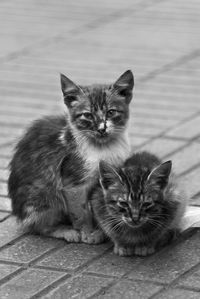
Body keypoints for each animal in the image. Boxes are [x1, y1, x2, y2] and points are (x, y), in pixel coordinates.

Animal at [7, 69, 134, 244]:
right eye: (87, 115)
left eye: (111, 112)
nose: (101, 128)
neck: (104, 147)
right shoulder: (72, 183)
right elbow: (80, 211)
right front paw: (87, 232)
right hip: (45, 194)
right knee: (38, 226)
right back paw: (65, 231)